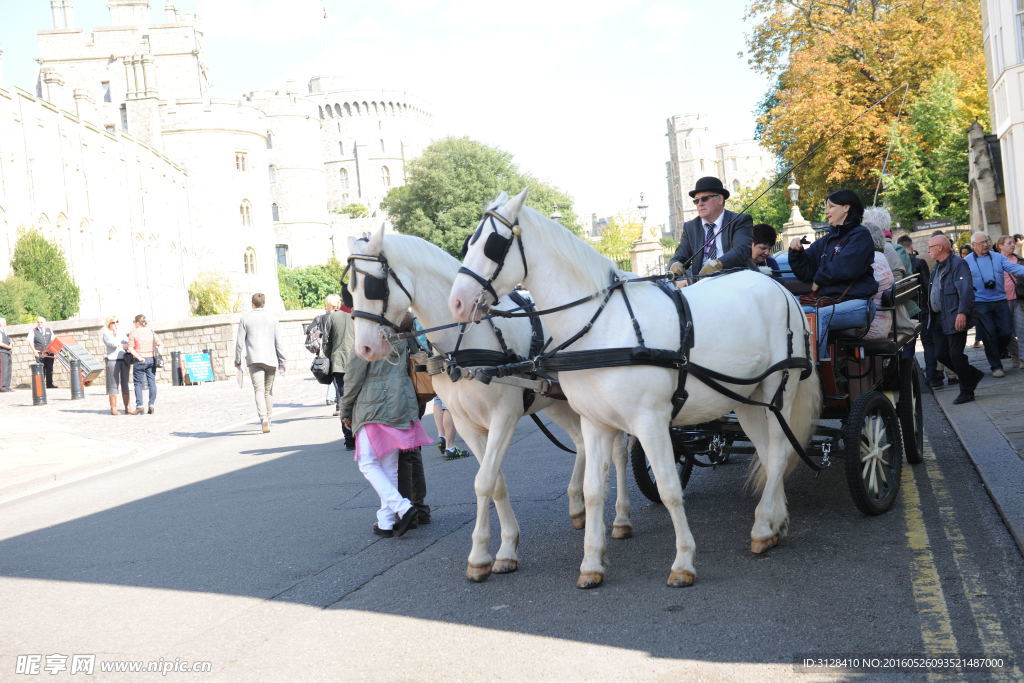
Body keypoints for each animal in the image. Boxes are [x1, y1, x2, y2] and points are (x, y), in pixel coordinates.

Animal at [344, 219, 630, 581]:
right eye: (349, 290)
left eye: (373, 286)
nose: (364, 349)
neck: (465, 341)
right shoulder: (465, 422)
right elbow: (495, 482)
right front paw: (504, 548)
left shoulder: (503, 416)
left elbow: (484, 482)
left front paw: (482, 555)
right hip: (558, 401)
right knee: (581, 443)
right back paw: (578, 507)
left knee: (618, 452)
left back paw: (621, 517)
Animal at [452, 189, 819, 589]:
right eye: (469, 242)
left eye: (492, 245)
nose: (457, 302)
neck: (603, 325)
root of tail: (781, 290)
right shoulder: (595, 422)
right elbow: (594, 490)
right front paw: (592, 564)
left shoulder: (651, 421)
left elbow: (670, 488)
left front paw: (683, 562)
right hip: (748, 400)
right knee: (768, 454)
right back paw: (772, 525)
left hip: (778, 390)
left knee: (779, 453)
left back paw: (763, 525)